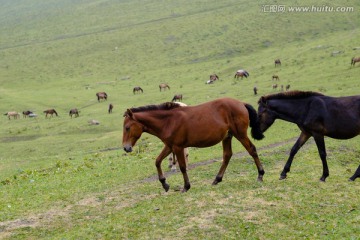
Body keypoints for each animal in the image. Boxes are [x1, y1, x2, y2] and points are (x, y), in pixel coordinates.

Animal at [122, 96, 266, 192]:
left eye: (127, 128)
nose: (126, 148)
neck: (168, 121)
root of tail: (241, 103)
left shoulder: (178, 147)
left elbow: (182, 167)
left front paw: (186, 187)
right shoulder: (169, 146)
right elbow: (157, 161)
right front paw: (165, 184)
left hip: (240, 134)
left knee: (251, 150)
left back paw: (260, 175)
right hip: (227, 136)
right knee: (227, 155)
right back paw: (217, 179)